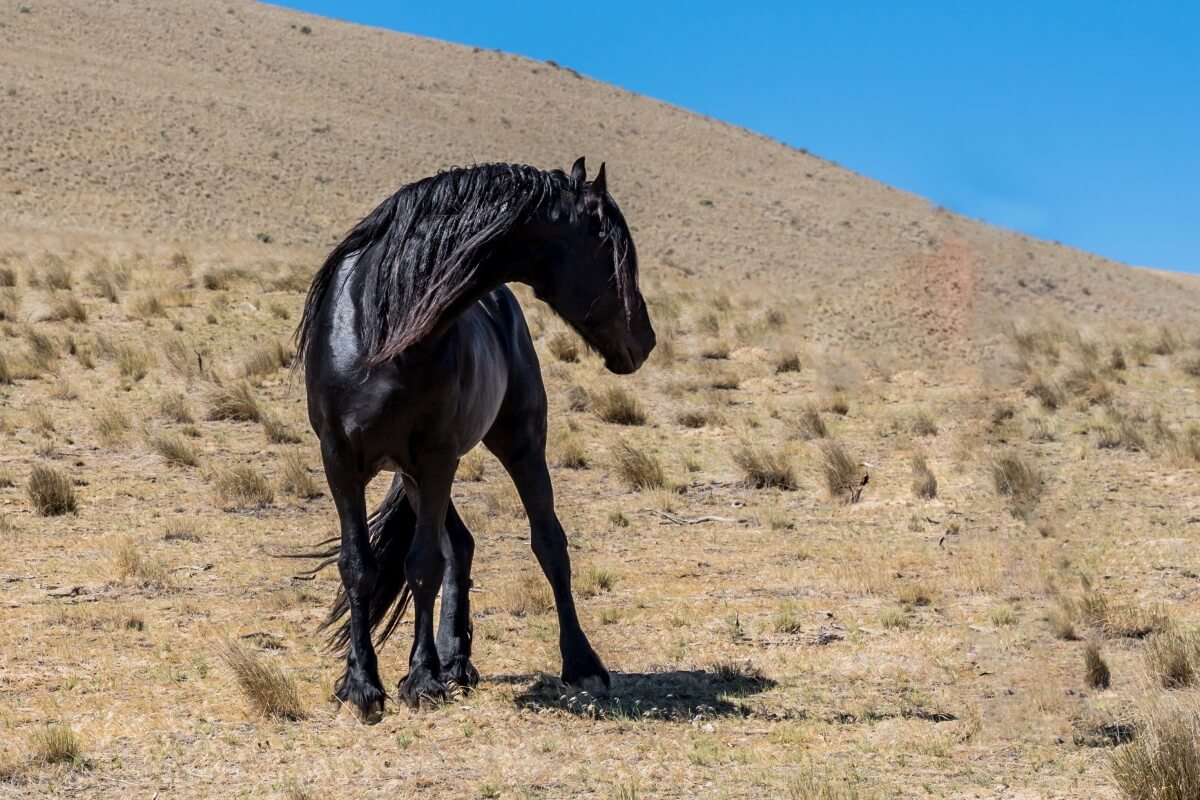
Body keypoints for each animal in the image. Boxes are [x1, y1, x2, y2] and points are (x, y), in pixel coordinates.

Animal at [294, 158, 656, 720]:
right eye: (612, 253)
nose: (646, 339)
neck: (384, 326)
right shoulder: (341, 461)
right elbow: (357, 566)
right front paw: (361, 683)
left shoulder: (436, 457)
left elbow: (421, 564)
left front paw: (421, 679)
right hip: (413, 476)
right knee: (460, 545)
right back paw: (455, 660)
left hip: (517, 445)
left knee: (547, 543)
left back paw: (579, 665)